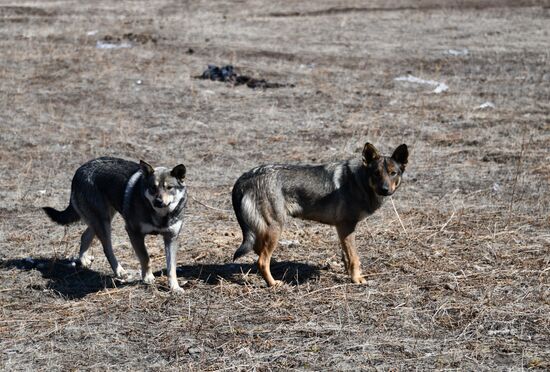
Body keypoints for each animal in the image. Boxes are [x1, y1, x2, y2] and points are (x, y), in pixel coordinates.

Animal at [43, 155, 190, 292]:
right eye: (153, 188)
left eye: (169, 188)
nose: (158, 201)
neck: (161, 216)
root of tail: (80, 170)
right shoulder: (133, 232)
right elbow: (146, 258)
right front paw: (148, 278)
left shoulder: (171, 238)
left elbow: (171, 268)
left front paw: (175, 287)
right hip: (103, 223)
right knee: (107, 248)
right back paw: (119, 271)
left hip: (103, 219)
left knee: (85, 236)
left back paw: (84, 260)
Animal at [233, 142, 410, 288]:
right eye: (376, 173)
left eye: (393, 173)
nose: (385, 189)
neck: (360, 182)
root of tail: (244, 178)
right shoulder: (346, 226)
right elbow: (354, 257)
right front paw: (356, 279)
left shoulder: (342, 230)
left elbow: (346, 256)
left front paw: (347, 273)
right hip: (275, 228)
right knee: (262, 261)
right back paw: (273, 283)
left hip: (265, 230)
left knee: (259, 252)